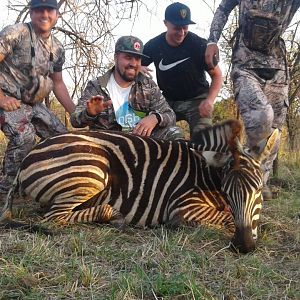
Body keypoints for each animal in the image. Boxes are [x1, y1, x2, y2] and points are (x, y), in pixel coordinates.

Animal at [0, 119, 278, 253]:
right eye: (227, 192)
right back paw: (111, 215)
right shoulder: (182, 206)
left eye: (257, 190)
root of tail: (28, 155)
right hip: (91, 168)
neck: (208, 174)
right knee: (53, 217)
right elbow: (227, 217)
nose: (243, 246)